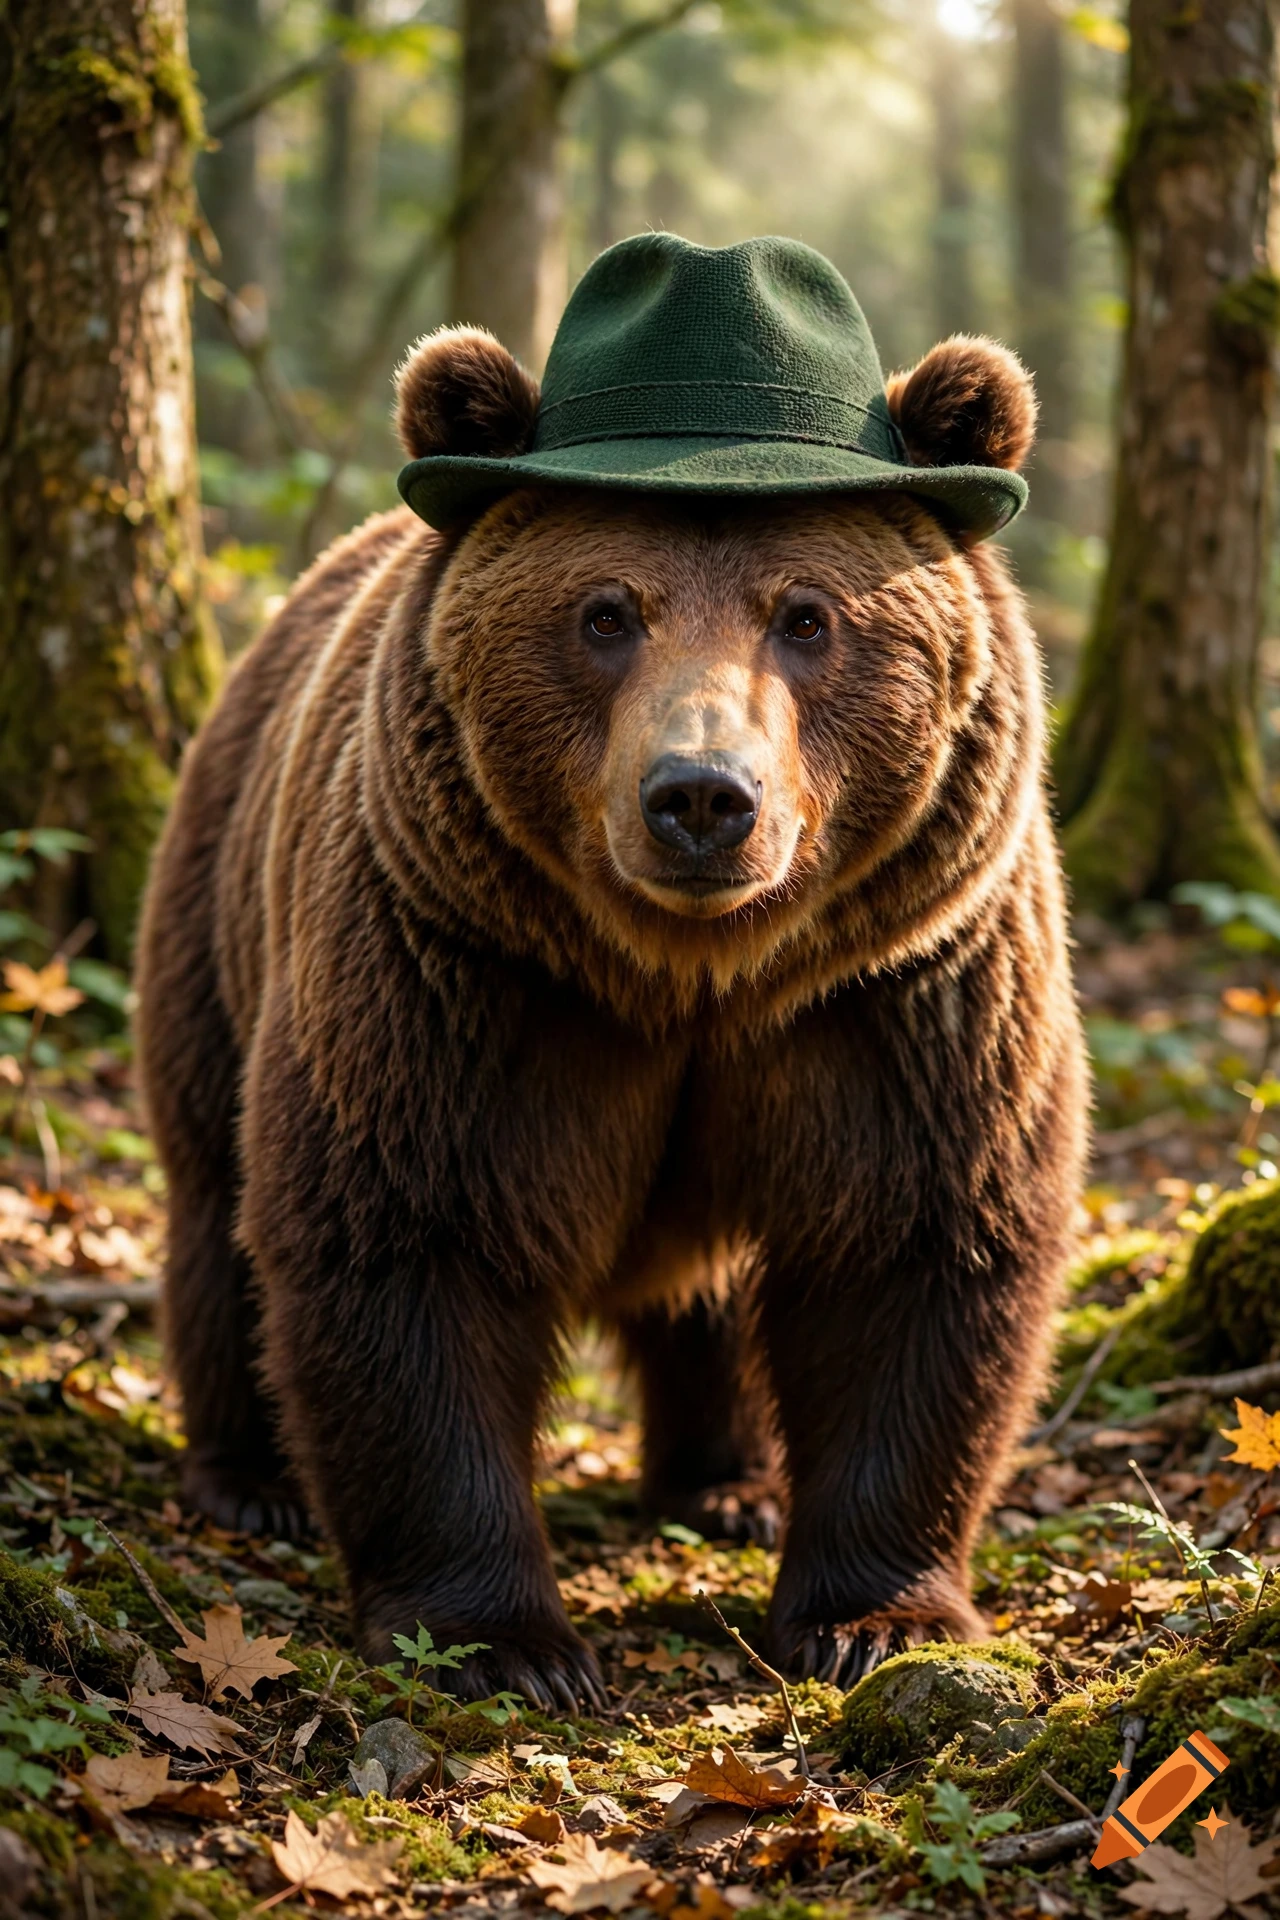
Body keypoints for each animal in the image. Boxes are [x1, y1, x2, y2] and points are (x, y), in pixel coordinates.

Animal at [136, 235, 1086, 1711]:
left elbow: (914, 1249)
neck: (692, 975)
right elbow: (406, 1240)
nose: (700, 797)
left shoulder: (902, 992)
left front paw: (873, 1615)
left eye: (805, 615)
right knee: (214, 1197)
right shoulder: (461, 978)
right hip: (218, 912)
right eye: (604, 613)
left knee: (704, 1289)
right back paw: (251, 1478)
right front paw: (506, 1643)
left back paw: (728, 1481)